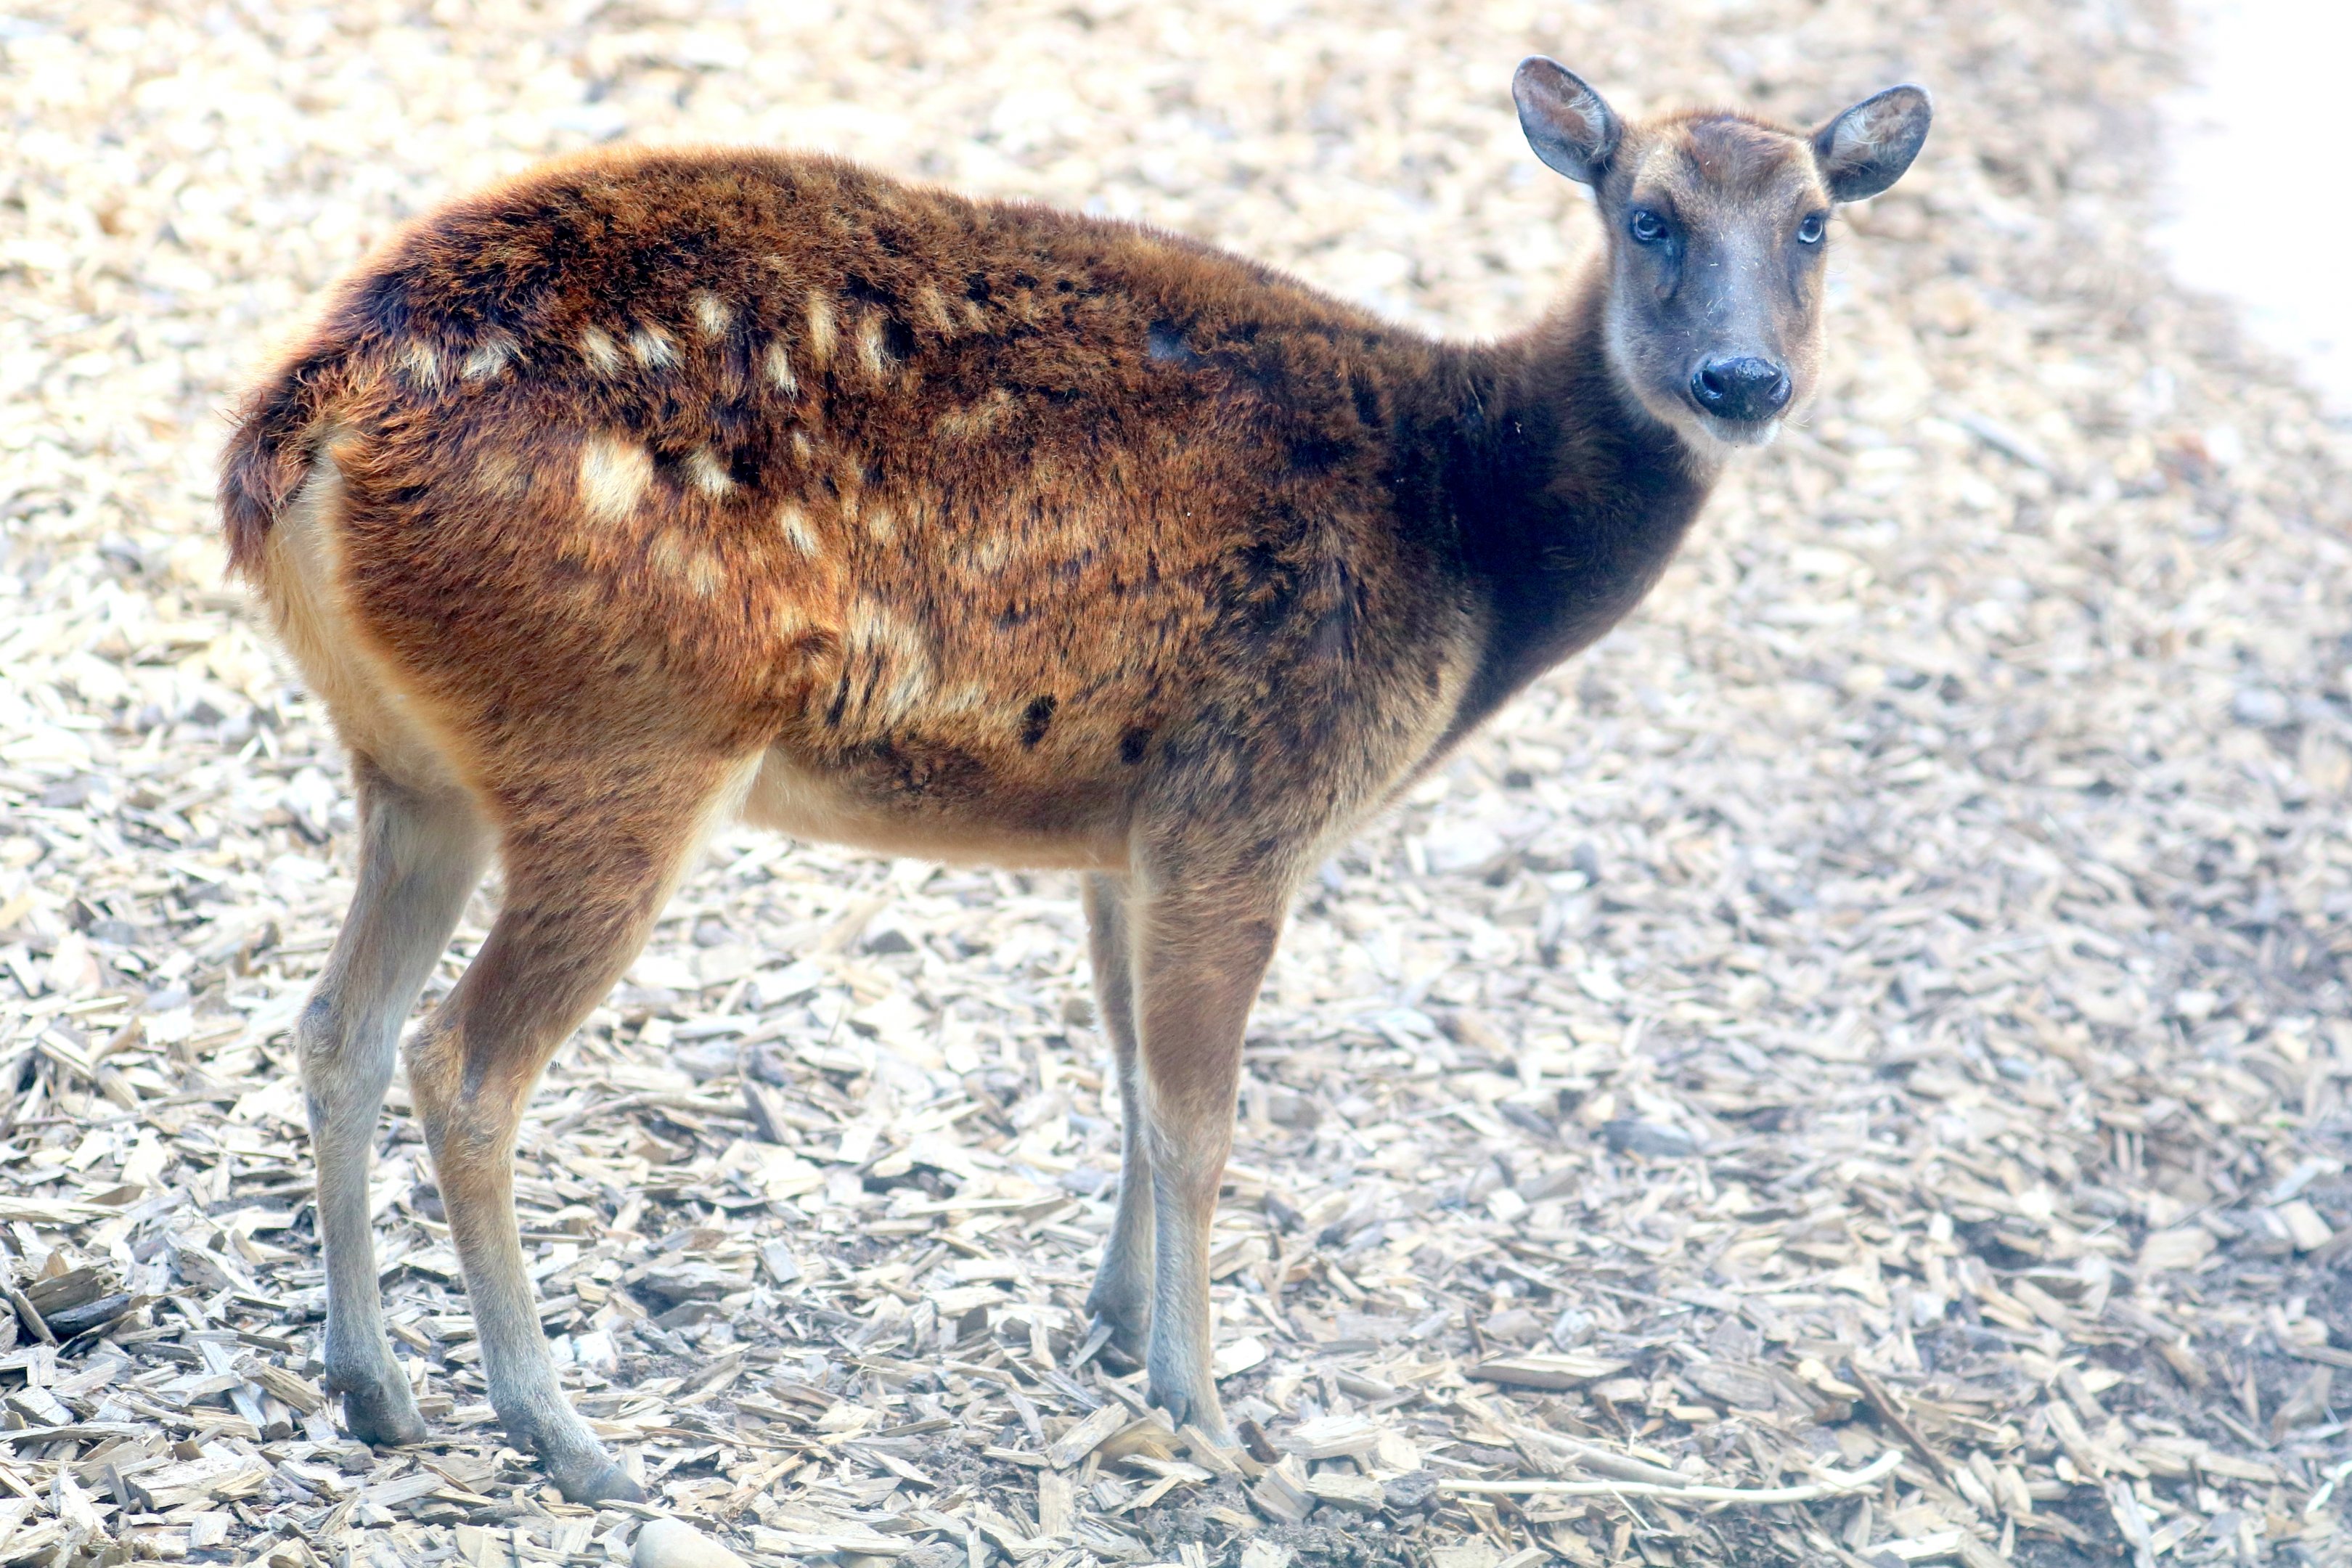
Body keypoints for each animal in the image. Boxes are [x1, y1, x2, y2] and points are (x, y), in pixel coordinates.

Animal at [217, 60, 1929, 1501]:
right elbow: (1201, 1121)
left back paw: (375, 1389)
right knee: (462, 1060)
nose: (1741, 379)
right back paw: (565, 1435)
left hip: (419, 768)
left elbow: (1124, 1079)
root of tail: (304, 424)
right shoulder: (1254, 796)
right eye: (1646, 213)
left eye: (1814, 223)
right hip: (623, 741)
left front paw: (1112, 1322)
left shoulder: (1128, 832)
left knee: (336, 1026)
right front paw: (1207, 1413)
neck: (1470, 548)